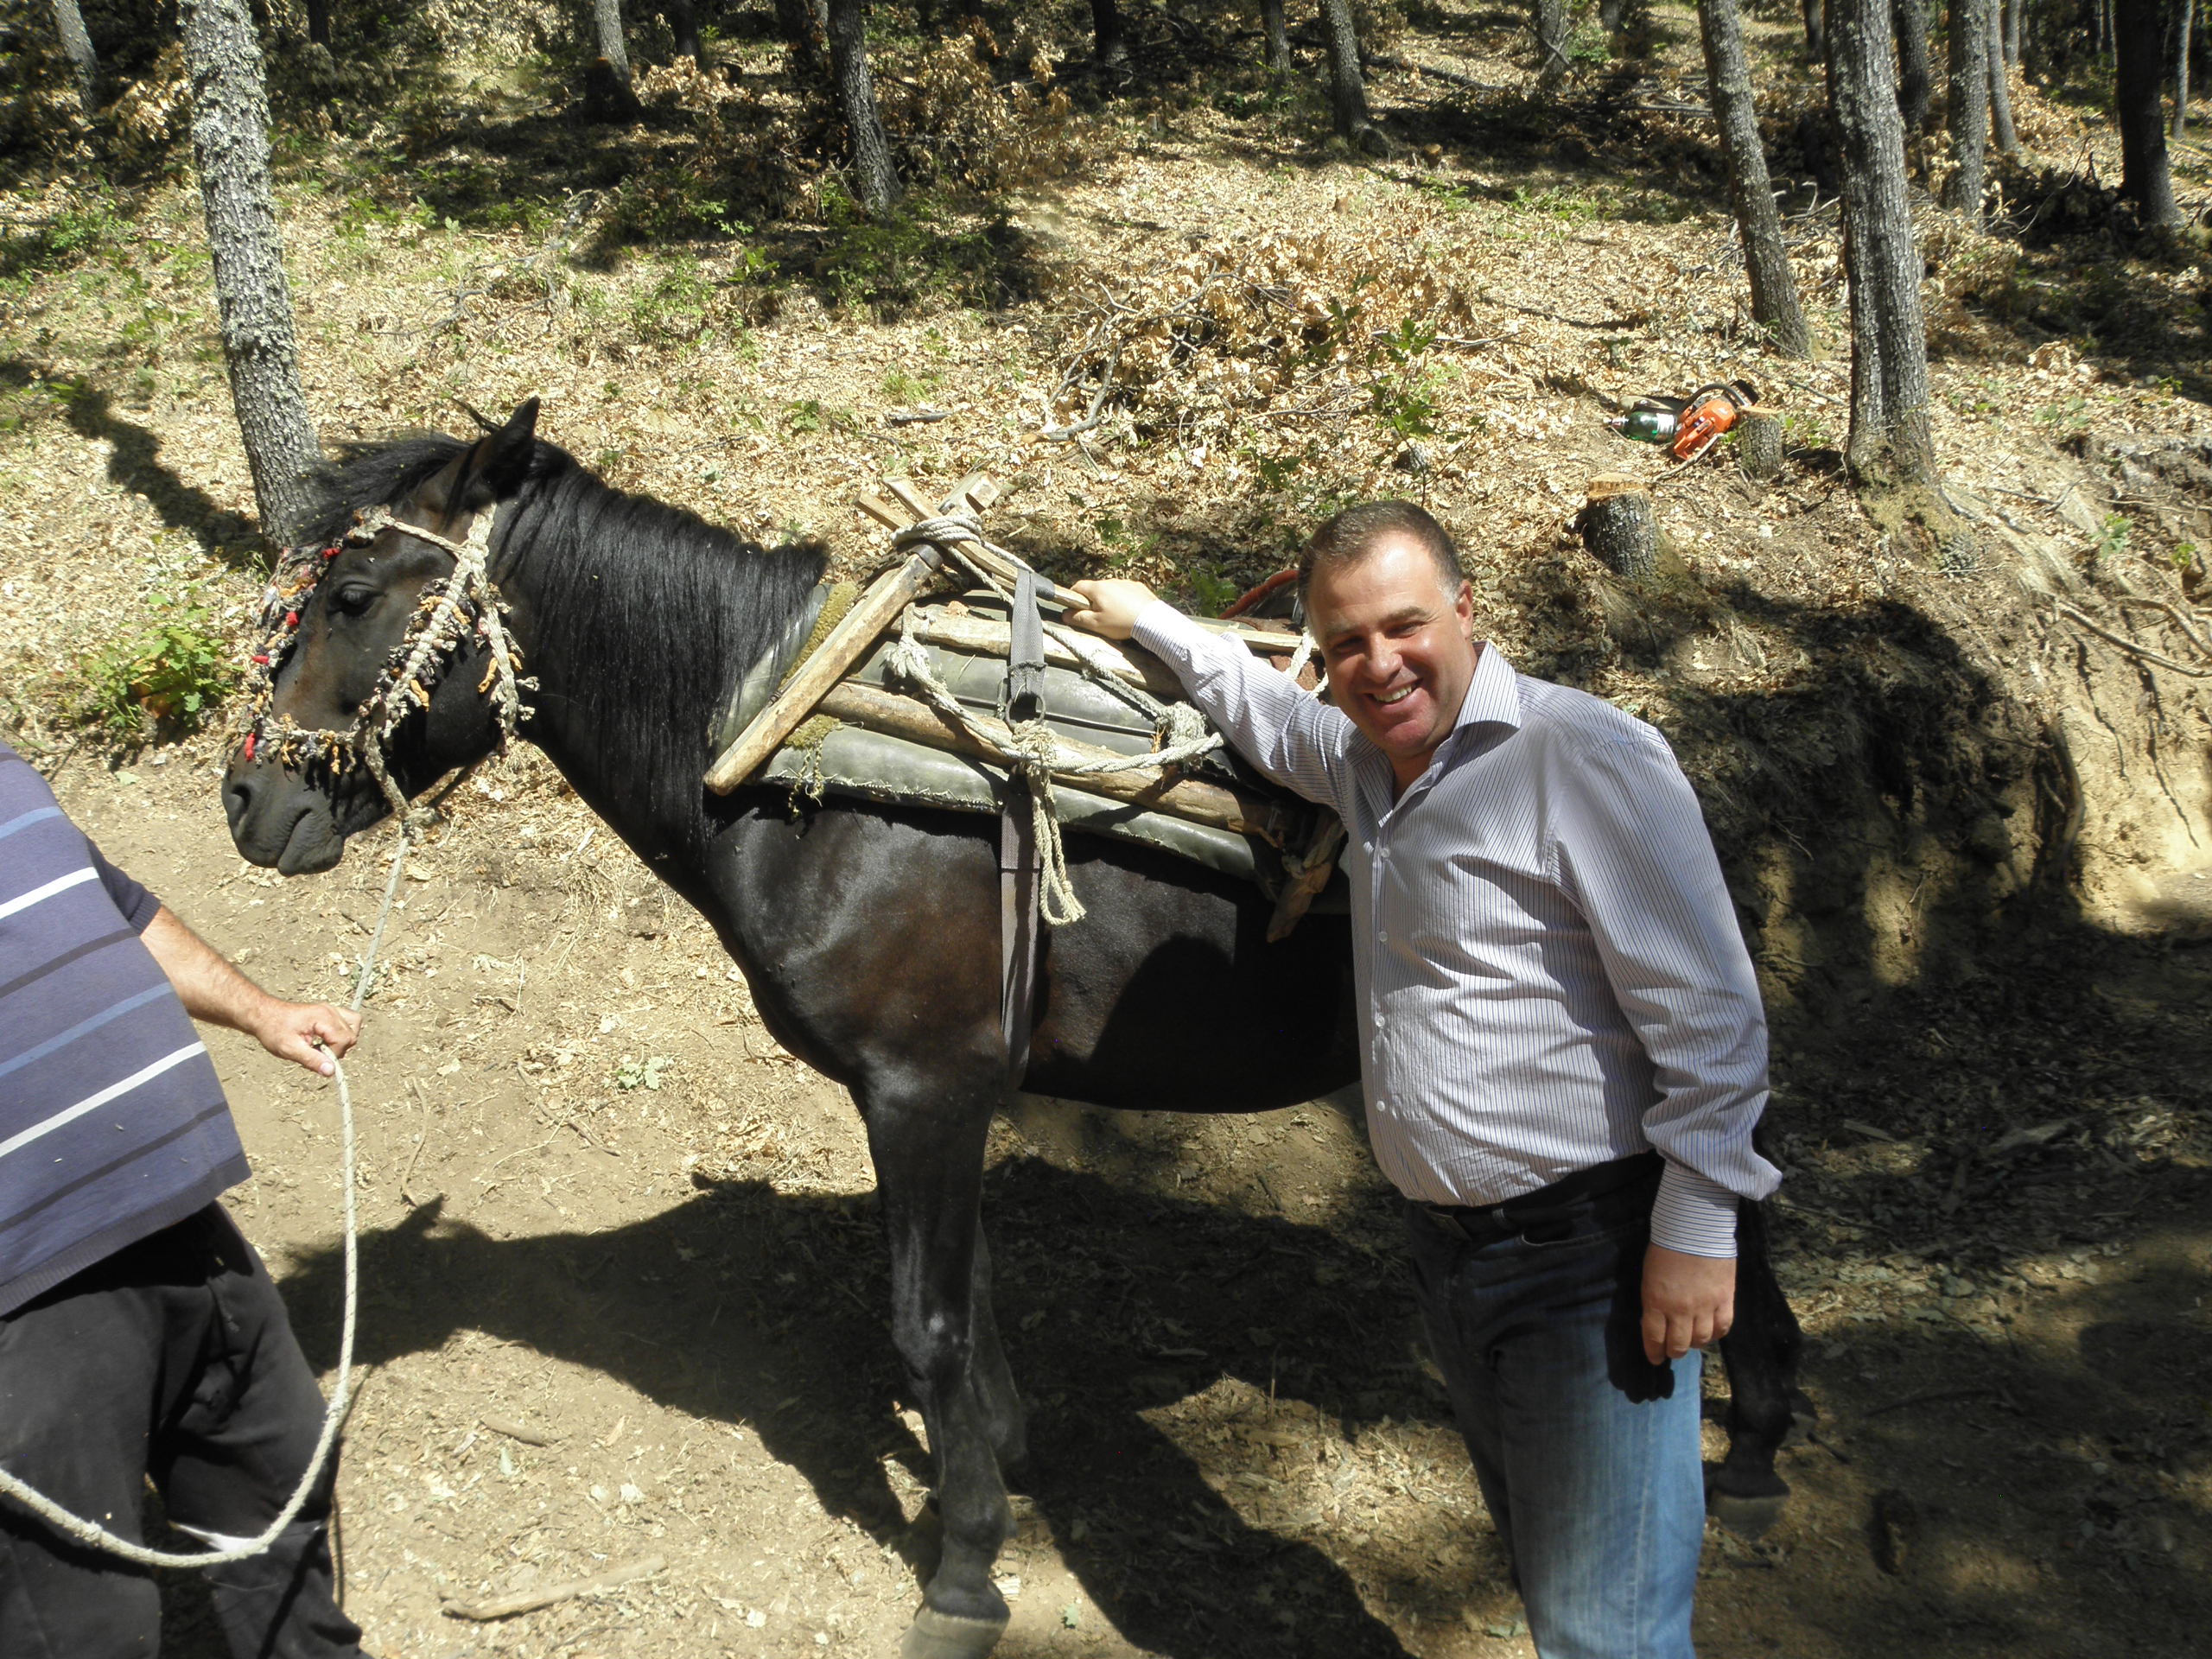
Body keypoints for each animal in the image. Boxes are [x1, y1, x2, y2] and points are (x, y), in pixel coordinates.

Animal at [224, 402, 1804, 1659]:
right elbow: (973, 1305)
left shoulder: (920, 1091)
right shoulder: (950, 1097)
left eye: (351, 591)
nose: (251, 802)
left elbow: (924, 1325)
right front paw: (1004, 1454)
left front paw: (966, 1570)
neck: (794, 763)